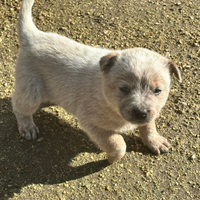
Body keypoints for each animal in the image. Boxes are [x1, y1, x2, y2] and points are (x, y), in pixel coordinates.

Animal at [12, 0, 181, 162]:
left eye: (157, 90)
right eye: (123, 88)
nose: (141, 113)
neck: (106, 96)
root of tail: (33, 36)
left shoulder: (152, 112)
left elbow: (149, 125)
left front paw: (155, 141)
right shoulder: (92, 123)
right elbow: (117, 143)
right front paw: (112, 158)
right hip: (30, 90)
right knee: (19, 105)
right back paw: (27, 128)